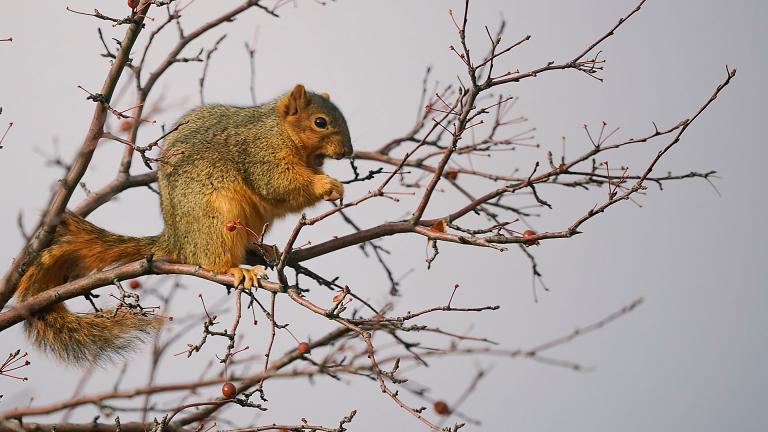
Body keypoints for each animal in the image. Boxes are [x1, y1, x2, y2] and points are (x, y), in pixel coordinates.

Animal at [14, 84, 352, 365]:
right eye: (320, 122)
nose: (347, 152)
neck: (281, 131)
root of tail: (177, 239)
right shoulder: (261, 153)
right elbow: (280, 184)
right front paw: (325, 184)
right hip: (217, 218)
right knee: (213, 258)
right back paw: (236, 270)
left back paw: (264, 249)